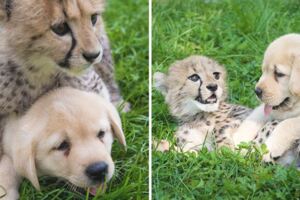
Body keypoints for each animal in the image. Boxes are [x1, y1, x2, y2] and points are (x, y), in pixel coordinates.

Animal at [234, 32, 300, 163]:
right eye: (263, 70)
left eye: (279, 74)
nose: (257, 91)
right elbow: (254, 117)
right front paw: (237, 140)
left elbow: (288, 123)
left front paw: (270, 147)